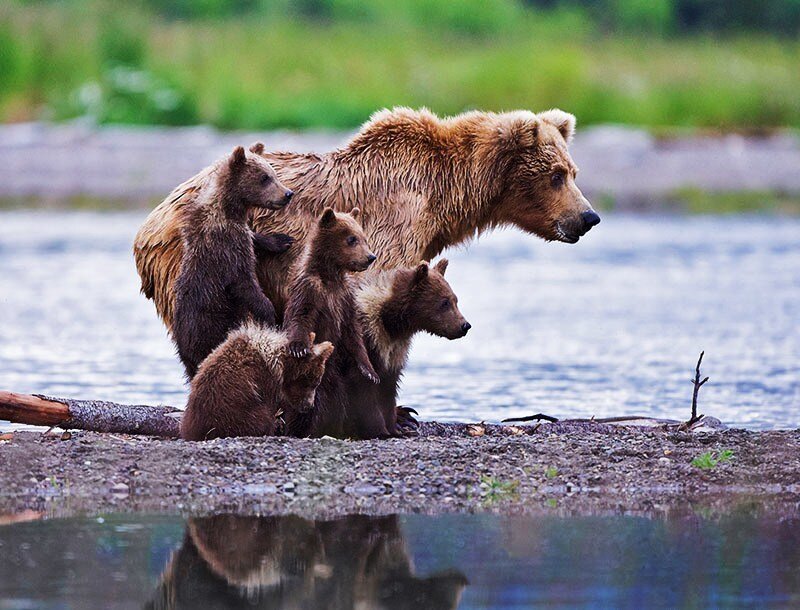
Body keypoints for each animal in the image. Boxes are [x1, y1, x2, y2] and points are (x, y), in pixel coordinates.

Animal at [134, 107, 600, 334]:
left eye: (573, 171)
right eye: (555, 175)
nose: (588, 216)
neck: (446, 190)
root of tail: (149, 222)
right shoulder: (395, 225)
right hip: (202, 258)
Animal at [171, 143, 294, 379]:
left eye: (273, 173)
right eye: (265, 178)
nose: (287, 194)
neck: (228, 211)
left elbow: (254, 238)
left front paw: (281, 240)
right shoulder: (227, 250)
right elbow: (244, 283)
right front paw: (269, 313)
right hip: (208, 327)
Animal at [281, 207, 380, 438]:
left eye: (364, 237)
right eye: (351, 239)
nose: (370, 257)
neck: (331, 276)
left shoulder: (346, 298)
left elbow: (353, 334)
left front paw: (370, 372)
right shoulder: (310, 289)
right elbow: (301, 316)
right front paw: (298, 347)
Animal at [343, 258, 470, 439]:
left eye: (455, 300)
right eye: (445, 302)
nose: (464, 325)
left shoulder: (393, 349)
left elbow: (388, 388)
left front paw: (397, 427)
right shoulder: (365, 341)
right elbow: (363, 386)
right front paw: (381, 430)